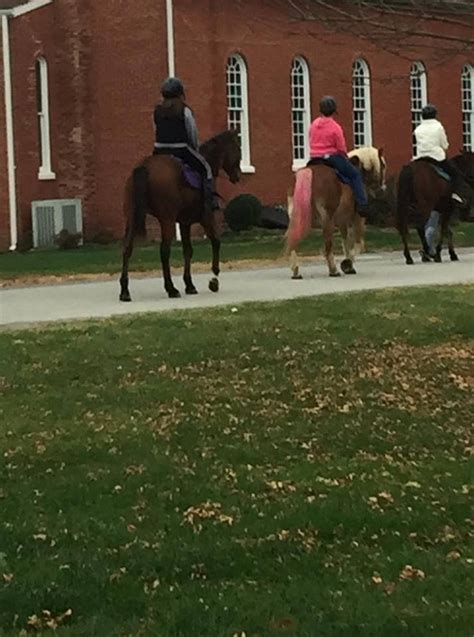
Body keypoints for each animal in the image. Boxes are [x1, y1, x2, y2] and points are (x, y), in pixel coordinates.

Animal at [120, 130, 243, 302]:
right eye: (238, 148)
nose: (238, 175)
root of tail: (145, 166)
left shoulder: (185, 223)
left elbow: (188, 250)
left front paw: (189, 284)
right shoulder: (206, 218)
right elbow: (216, 242)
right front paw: (214, 277)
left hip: (132, 218)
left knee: (127, 248)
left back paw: (125, 291)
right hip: (167, 220)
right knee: (164, 251)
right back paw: (171, 289)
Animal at [286, 149, 386, 280]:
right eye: (383, 165)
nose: (383, 188)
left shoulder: (342, 221)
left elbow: (345, 241)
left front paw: (349, 266)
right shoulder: (358, 218)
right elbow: (359, 243)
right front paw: (347, 264)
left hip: (297, 219)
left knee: (293, 243)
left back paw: (296, 272)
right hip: (327, 219)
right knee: (328, 246)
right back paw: (333, 270)